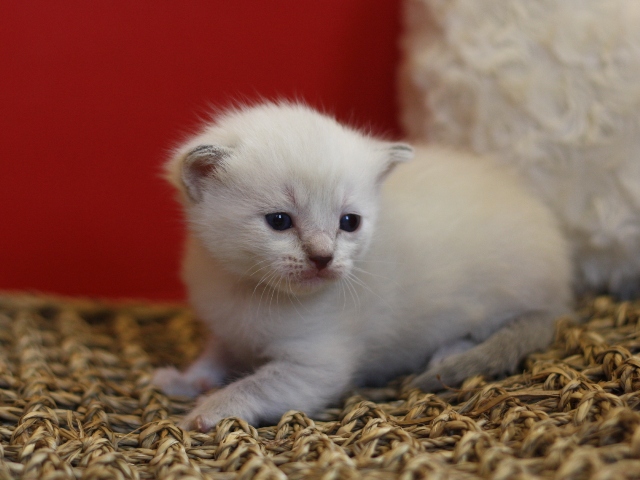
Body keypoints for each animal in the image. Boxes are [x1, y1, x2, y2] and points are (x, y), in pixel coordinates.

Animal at [152, 102, 572, 432]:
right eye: (279, 221)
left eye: (349, 222)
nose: (323, 257)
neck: (249, 289)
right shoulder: (226, 330)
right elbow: (213, 357)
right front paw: (186, 380)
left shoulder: (315, 366)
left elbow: (254, 385)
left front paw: (212, 407)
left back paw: (448, 355)